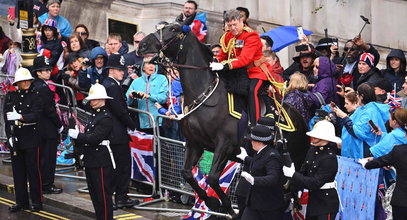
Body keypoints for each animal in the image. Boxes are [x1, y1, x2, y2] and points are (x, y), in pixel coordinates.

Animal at [138, 17, 310, 217]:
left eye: (174, 29)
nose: (142, 45)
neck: (207, 96)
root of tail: (303, 121)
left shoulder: (224, 146)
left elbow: (212, 178)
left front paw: (225, 205)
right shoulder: (195, 144)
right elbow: (187, 173)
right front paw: (212, 202)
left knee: (287, 192)